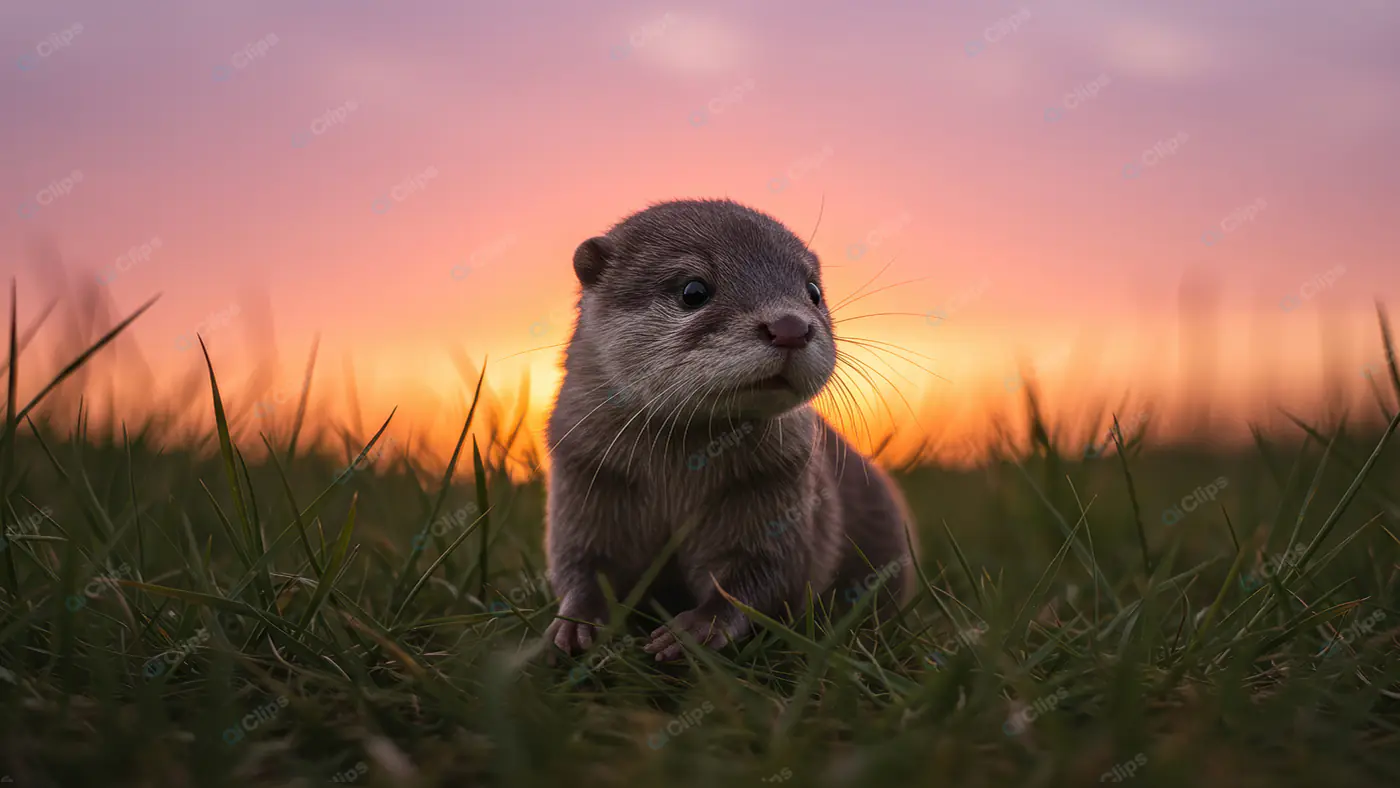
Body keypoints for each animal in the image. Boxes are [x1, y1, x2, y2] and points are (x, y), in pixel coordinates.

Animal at [544, 199, 917, 662]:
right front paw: (577, 623)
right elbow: (582, 565)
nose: (791, 327)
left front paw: (696, 629)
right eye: (693, 291)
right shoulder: (585, 476)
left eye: (813, 291)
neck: (677, 476)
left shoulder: (776, 491)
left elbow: (763, 577)